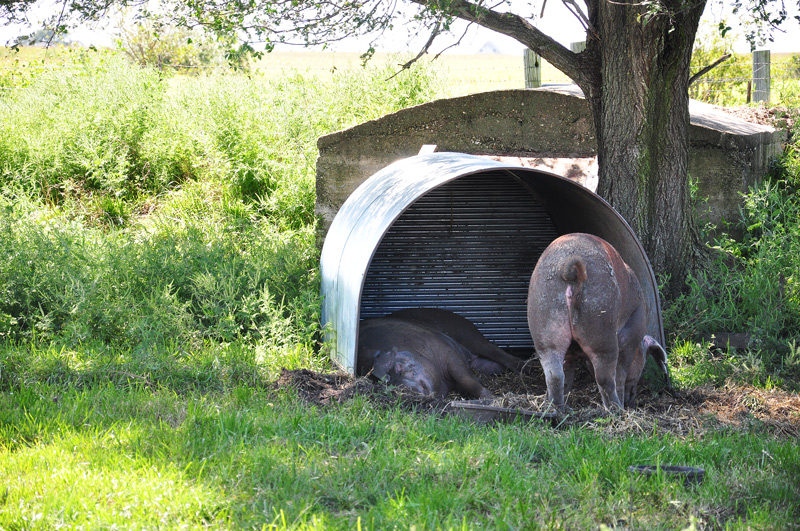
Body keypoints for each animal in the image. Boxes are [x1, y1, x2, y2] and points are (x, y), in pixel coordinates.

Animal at [527, 233, 669, 411]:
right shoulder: (630, 335)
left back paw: (558, 409)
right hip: (601, 323)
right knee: (604, 376)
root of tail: (570, 267)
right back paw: (616, 409)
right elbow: (621, 374)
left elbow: (568, 375)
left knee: (555, 374)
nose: (632, 403)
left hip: (544, 322)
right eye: (642, 362)